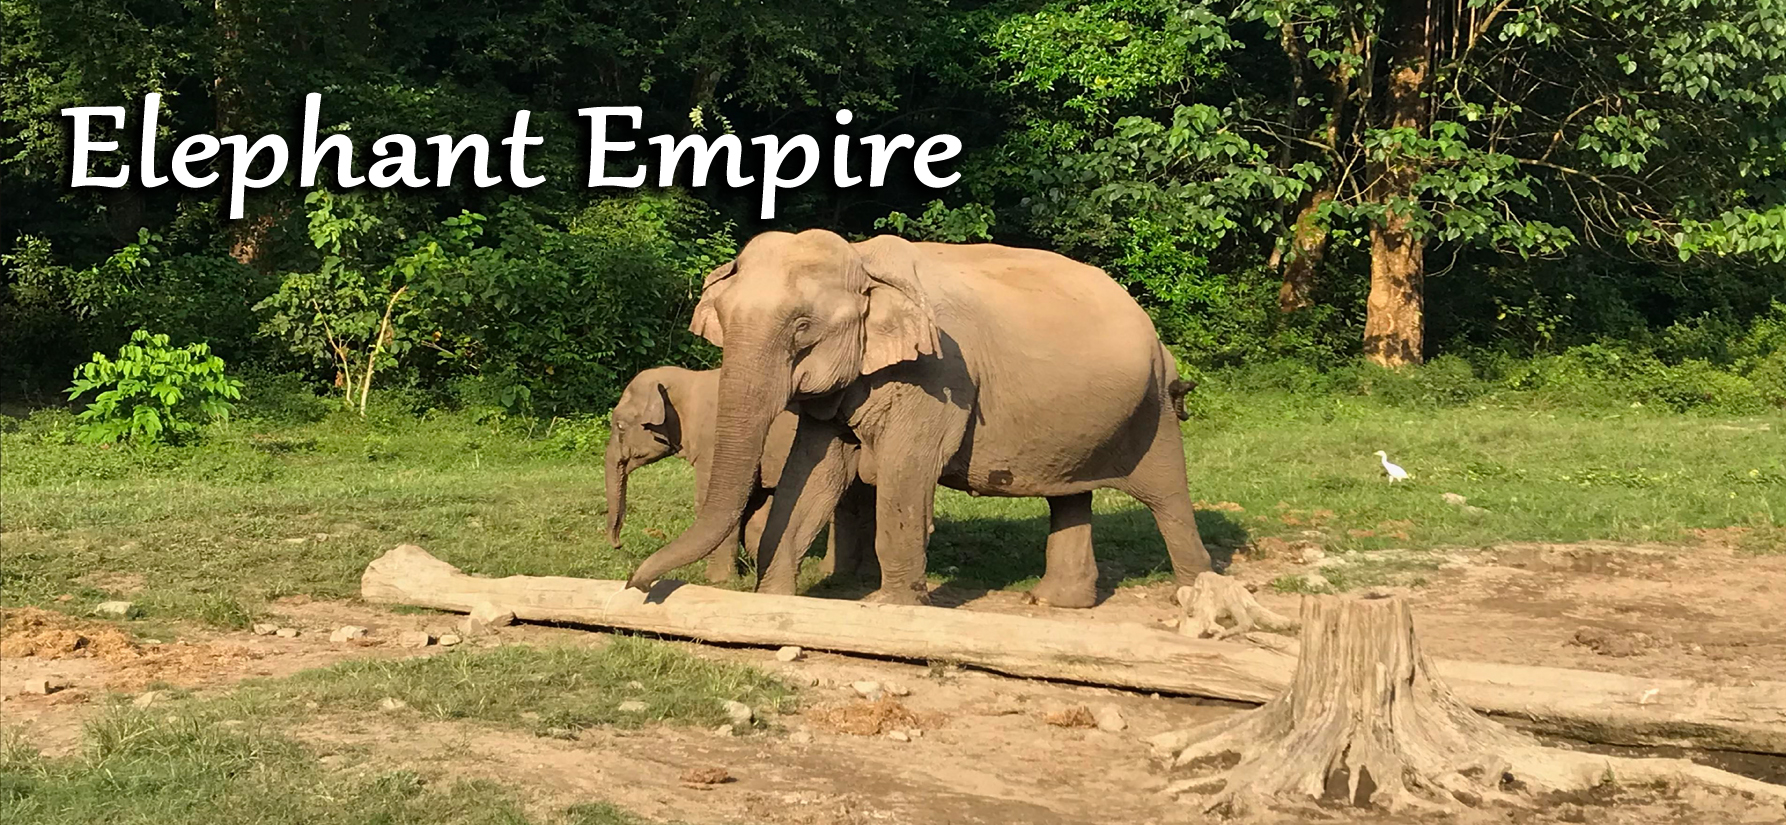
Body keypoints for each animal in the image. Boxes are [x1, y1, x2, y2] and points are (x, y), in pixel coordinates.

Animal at [605, 365, 877, 589]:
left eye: (619, 425)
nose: (618, 544)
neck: (689, 381)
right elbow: (754, 507)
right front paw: (758, 567)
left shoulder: (714, 443)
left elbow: (709, 503)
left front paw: (717, 581)